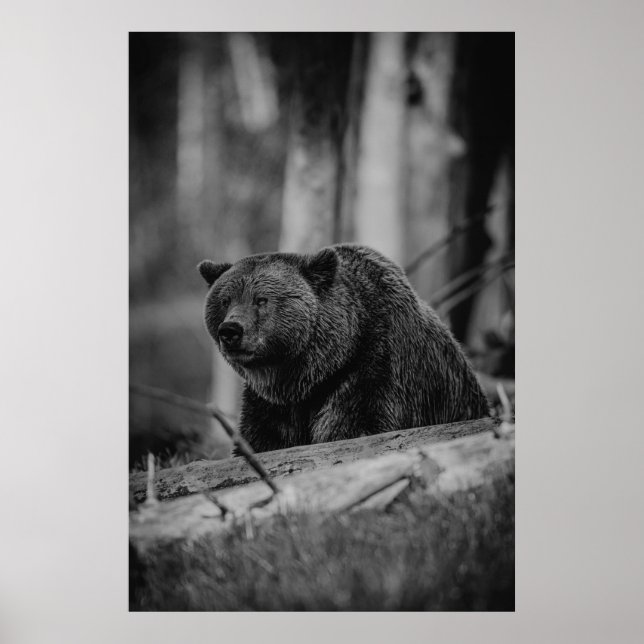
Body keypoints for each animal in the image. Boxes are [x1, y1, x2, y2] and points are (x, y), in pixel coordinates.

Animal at [198, 244, 489, 453]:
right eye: (225, 300)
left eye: (261, 299)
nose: (230, 331)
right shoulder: (271, 403)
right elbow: (261, 439)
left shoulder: (376, 367)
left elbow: (354, 427)